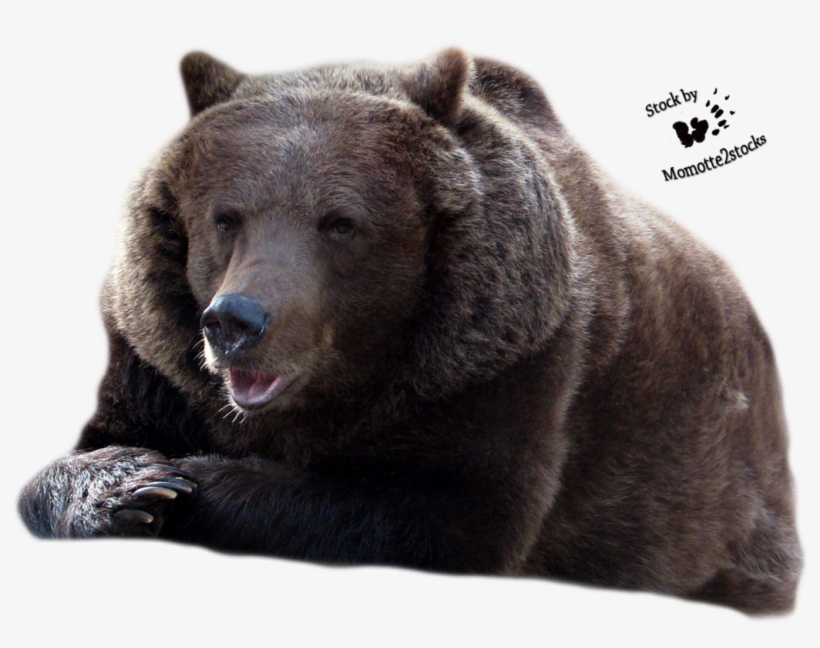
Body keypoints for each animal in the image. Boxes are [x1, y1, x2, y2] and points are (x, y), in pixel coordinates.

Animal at [18, 49, 801, 614]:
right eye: (226, 217)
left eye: (340, 222)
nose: (236, 321)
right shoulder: (154, 360)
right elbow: (68, 460)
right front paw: (131, 483)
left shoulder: (506, 360)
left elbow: (438, 510)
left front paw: (192, 481)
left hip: (719, 497)